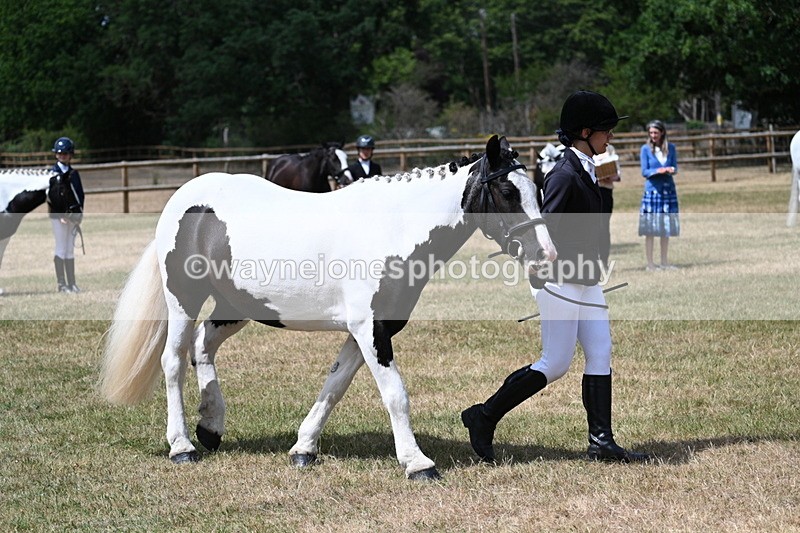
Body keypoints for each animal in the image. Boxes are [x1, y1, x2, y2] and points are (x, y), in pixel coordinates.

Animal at [99, 135, 557, 480]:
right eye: (507, 191)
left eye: (536, 189)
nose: (546, 256)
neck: (392, 227)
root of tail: (186, 198)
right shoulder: (369, 329)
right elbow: (395, 394)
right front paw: (417, 463)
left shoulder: (371, 330)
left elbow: (334, 386)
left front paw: (304, 448)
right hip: (184, 298)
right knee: (174, 360)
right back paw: (182, 446)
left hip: (236, 305)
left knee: (202, 347)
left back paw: (210, 428)